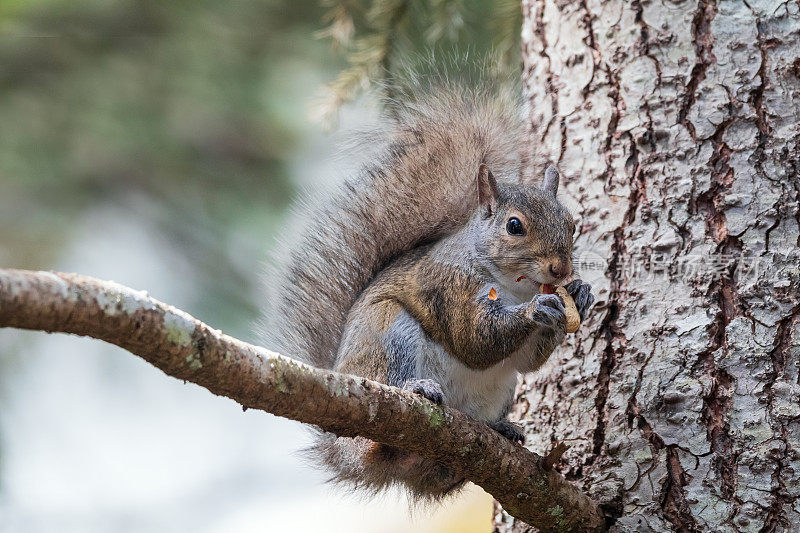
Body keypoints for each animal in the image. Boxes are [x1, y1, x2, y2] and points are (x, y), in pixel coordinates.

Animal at [268, 81, 592, 500]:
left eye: (571, 224)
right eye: (514, 226)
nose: (561, 269)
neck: (513, 286)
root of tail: (344, 450)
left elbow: (526, 361)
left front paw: (580, 295)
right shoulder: (448, 286)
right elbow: (473, 340)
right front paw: (536, 310)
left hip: (499, 392)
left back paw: (498, 429)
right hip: (389, 334)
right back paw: (417, 391)